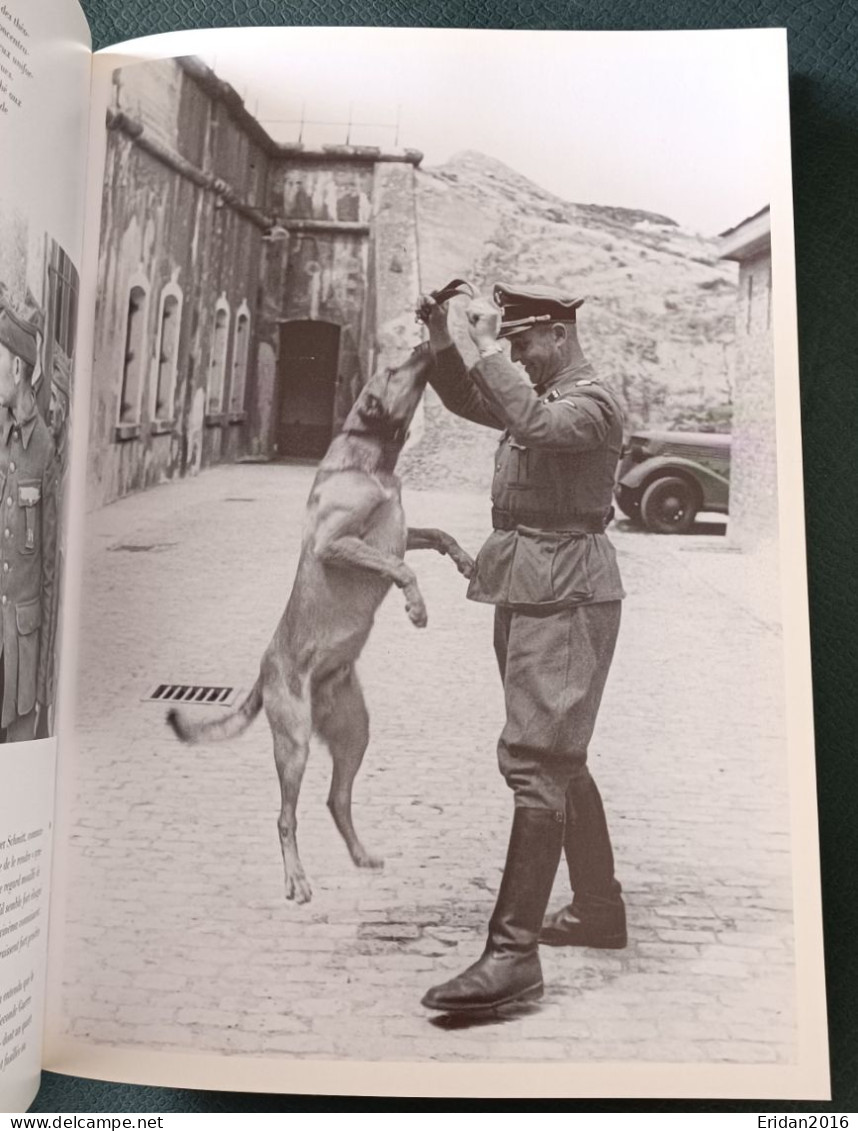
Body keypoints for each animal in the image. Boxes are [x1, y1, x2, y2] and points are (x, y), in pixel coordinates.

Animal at [166, 339, 477, 904]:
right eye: (393, 369)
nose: (426, 340)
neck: (372, 461)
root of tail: (264, 671)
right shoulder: (336, 544)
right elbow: (404, 568)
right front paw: (416, 607)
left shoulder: (400, 534)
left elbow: (439, 535)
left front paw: (465, 561)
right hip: (293, 743)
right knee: (285, 816)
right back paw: (296, 878)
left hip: (355, 733)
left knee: (337, 799)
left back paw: (359, 854)